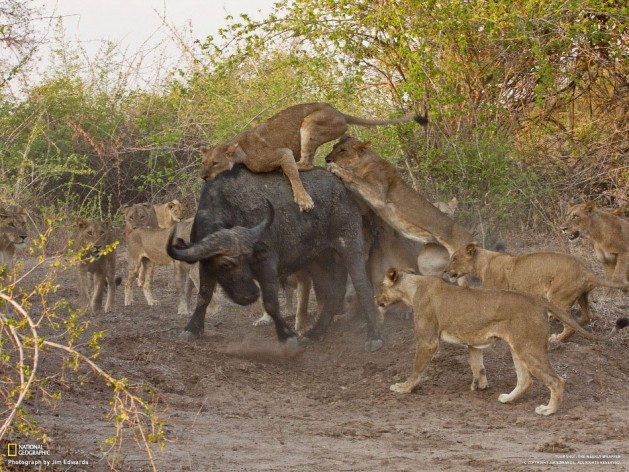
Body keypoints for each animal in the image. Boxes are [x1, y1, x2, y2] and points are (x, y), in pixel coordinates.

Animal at [200, 102, 426, 211]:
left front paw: (304, 200)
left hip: (310, 123)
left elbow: (294, 176)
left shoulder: (283, 152)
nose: (203, 176)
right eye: (203, 163)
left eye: (215, 163)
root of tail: (339, 112)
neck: (240, 152)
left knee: (307, 164)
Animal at [324, 135, 472, 256]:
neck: (361, 164)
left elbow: (354, 177)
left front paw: (335, 168)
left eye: (343, 150)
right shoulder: (365, 204)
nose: (326, 159)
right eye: (333, 147)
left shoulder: (377, 194)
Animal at [376, 270, 624, 416]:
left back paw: (548, 410)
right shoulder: (472, 343)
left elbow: (416, 369)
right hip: (518, 347)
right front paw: (479, 386)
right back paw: (507, 399)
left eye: (380, 286)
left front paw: (403, 388)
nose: (375, 299)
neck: (412, 289)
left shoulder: (427, 341)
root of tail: (538, 300)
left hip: (529, 348)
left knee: (556, 380)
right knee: (525, 380)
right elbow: (478, 365)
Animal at [444, 245, 624, 342]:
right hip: (581, 296)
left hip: (558, 297)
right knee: (585, 317)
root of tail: (586, 269)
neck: (483, 262)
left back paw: (557, 339)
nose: (445, 270)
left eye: (454, 259)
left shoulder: (496, 292)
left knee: (569, 325)